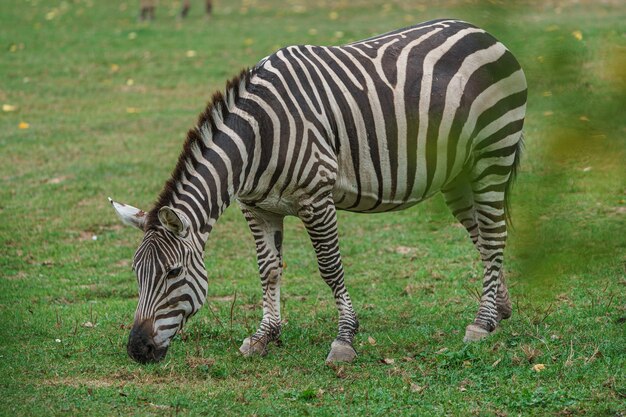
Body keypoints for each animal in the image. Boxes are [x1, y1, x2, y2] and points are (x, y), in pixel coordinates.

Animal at [109, 19, 524, 362]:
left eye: (174, 272)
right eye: (136, 273)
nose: (137, 350)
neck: (257, 136)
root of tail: (482, 31)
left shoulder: (316, 199)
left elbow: (329, 268)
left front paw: (345, 338)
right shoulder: (257, 207)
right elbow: (268, 269)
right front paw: (265, 335)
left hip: (492, 155)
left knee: (494, 235)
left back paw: (482, 322)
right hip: (458, 176)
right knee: (483, 238)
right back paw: (498, 311)